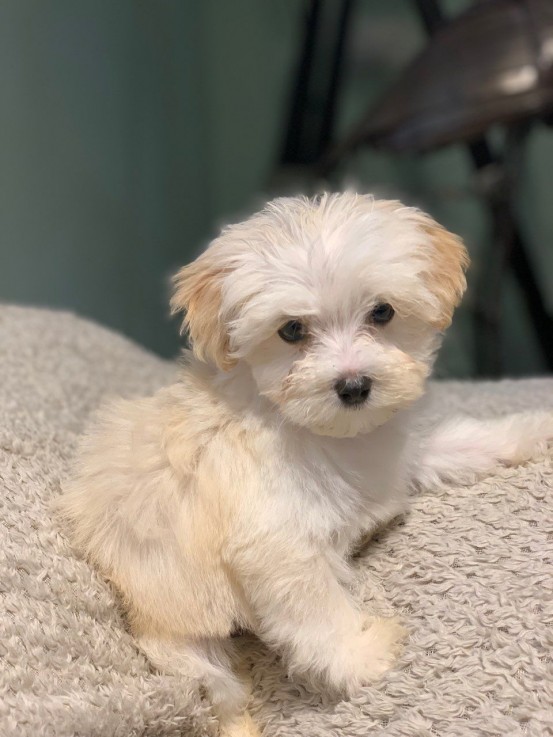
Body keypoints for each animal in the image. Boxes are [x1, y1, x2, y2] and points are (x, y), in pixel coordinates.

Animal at [57, 194, 552, 736]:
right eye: (291, 330)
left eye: (382, 312)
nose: (354, 386)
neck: (322, 432)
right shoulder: (276, 547)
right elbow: (317, 612)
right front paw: (362, 658)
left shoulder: (400, 458)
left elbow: (461, 441)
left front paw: (533, 430)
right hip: (183, 646)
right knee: (221, 693)